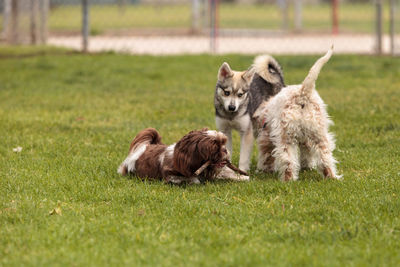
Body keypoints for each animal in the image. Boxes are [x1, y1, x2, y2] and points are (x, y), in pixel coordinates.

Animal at [117, 128, 250, 184]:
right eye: (214, 148)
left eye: (223, 143)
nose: (225, 150)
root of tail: (143, 148)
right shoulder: (171, 176)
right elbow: (192, 179)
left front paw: (243, 177)